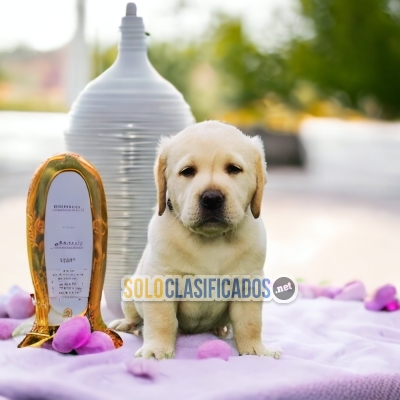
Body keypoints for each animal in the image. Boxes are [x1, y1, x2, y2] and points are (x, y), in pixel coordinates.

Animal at [111, 119, 270, 360]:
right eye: (187, 172)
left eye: (234, 169)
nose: (212, 198)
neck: (212, 239)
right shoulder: (161, 279)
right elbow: (162, 320)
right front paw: (157, 349)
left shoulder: (248, 281)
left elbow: (250, 322)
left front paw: (254, 349)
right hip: (131, 291)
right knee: (134, 314)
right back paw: (128, 324)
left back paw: (220, 328)